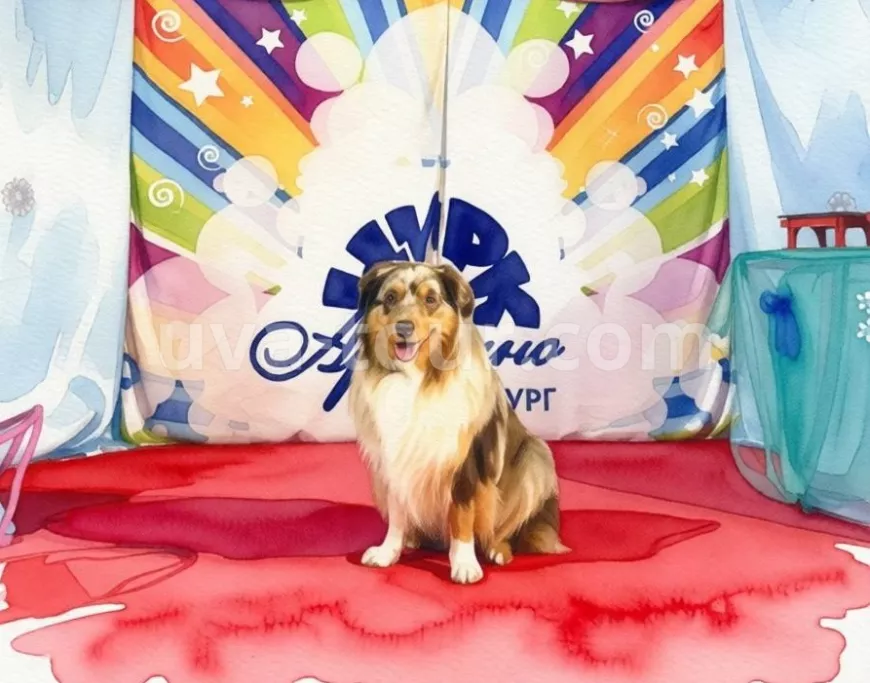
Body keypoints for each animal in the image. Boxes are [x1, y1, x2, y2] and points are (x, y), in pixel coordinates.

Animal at [349, 260, 568, 584]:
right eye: (389, 298)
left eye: (430, 299)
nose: (403, 328)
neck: (419, 379)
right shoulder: (393, 459)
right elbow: (398, 512)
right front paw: (389, 552)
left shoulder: (466, 462)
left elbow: (462, 516)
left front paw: (464, 564)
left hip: (535, 458)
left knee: (508, 527)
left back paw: (498, 549)